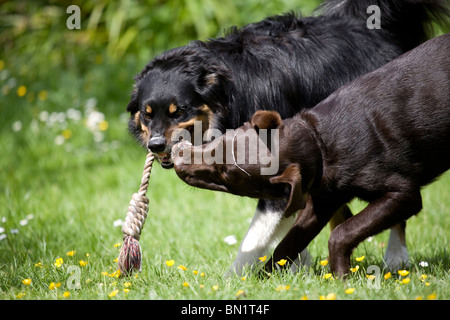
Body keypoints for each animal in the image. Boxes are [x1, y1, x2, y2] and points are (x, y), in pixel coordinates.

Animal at [125, 0, 448, 276]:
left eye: (179, 111)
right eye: (147, 114)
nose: (156, 145)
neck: (228, 92)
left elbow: (255, 236)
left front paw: (234, 280)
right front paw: (296, 270)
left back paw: (396, 257)